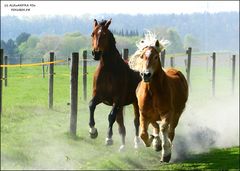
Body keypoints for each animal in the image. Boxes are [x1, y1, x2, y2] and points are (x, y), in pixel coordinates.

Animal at [88, 18, 142, 151]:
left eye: (104, 34)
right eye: (92, 34)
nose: (96, 53)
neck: (108, 70)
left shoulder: (116, 100)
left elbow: (111, 116)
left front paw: (109, 138)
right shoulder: (99, 96)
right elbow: (91, 105)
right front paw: (92, 131)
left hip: (135, 102)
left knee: (136, 121)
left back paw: (137, 143)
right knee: (121, 123)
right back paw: (122, 146)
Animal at [129, 32, 188, 162]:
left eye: (155, 56)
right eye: (142, 56)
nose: (146, 75)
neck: (153, 92)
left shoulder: (167, 113)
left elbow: (164, 128)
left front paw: (166, 153)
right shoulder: (144, 113)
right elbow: (143, 133)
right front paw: (154, 142)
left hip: (177, 113)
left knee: (170, 131)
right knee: (156, 126)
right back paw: (156, 142)